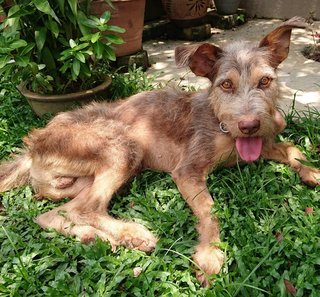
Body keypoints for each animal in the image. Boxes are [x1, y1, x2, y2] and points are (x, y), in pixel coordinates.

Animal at [0, 16, 318, 284]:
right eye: (226, 84)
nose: (250, 125)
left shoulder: (261, 144)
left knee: (56, 214)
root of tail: (33, 146)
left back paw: (95, 238)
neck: (220, 123)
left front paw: (311, 171)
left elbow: (292, 149)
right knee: (86, 208)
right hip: (122, 148)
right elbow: (209, 210)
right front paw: (210, 254)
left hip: (85, 179)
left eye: (265, 81)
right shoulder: (188, 170)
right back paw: (131, 233)